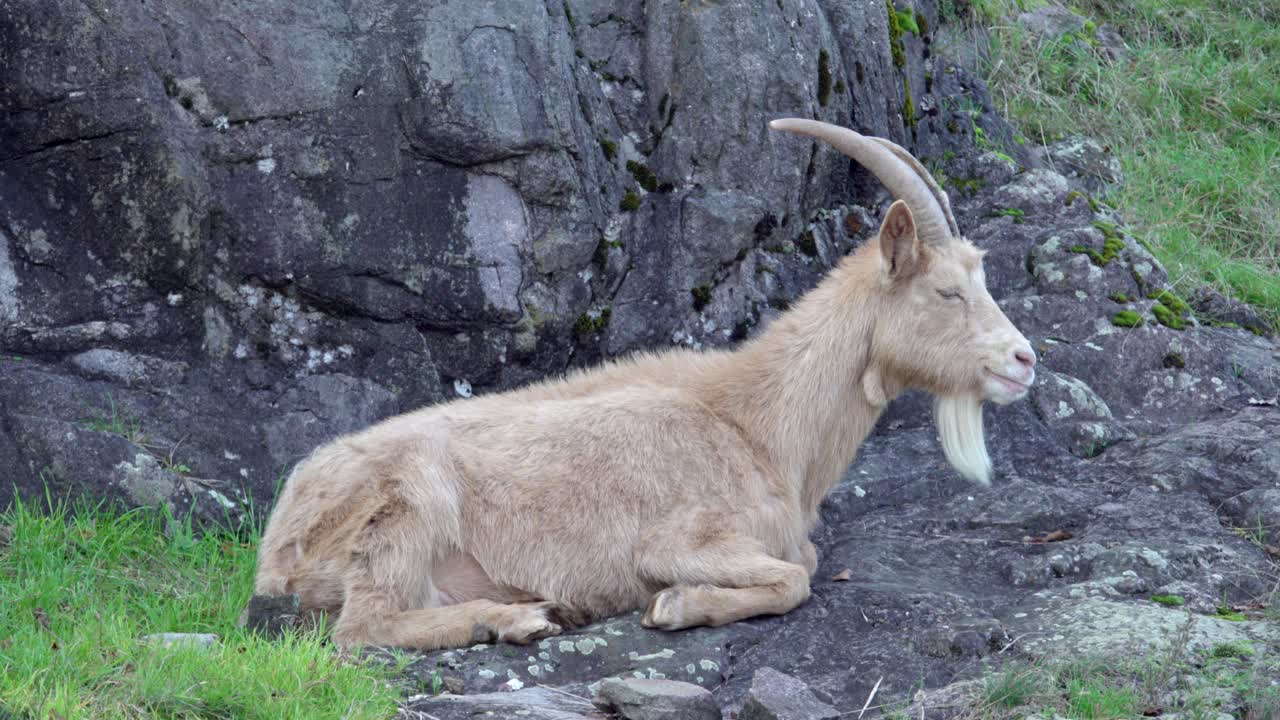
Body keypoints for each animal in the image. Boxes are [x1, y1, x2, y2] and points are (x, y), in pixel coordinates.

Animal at [251, 119, 1037, 650]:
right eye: (946, 291)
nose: (1024, 360)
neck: (760, 423)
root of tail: (275, 551)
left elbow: (804, 565)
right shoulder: (678, 539)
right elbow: (795, 578)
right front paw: (675, 606)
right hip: (407, 503)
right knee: (362, 626)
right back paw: (517, 617)